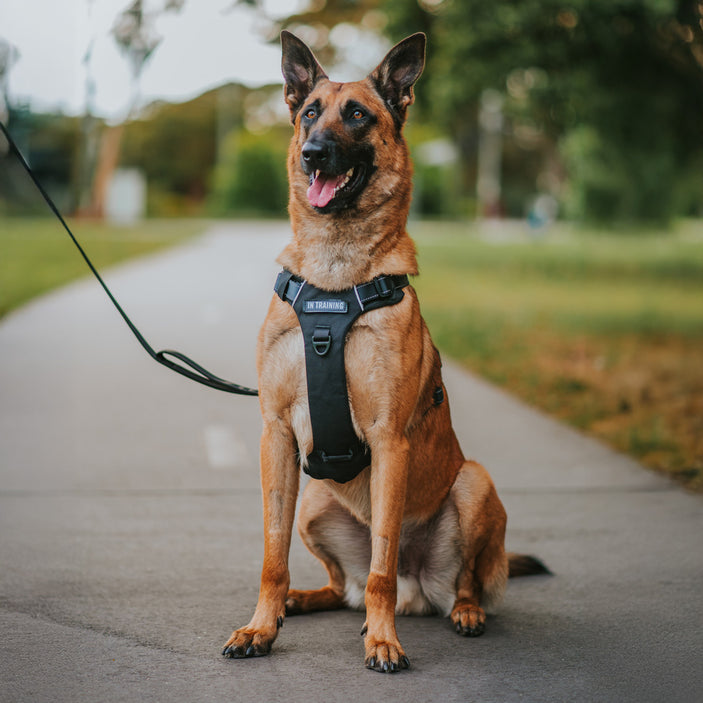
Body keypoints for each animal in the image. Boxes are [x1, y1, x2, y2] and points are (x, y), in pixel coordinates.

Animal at [223, 30, 548, 672]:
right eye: (309, 113)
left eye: (358, 116)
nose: (313, 154)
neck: (333, 278)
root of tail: (418, 586)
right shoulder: (276, 435)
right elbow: (272, 559)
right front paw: (261, 628)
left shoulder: (389, 441)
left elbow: (379, 566)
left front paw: (382, 640)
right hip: (313, 502)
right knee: (341, 586)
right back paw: (302, 599)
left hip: (474, 483)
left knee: (449, 581)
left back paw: (462, 612)